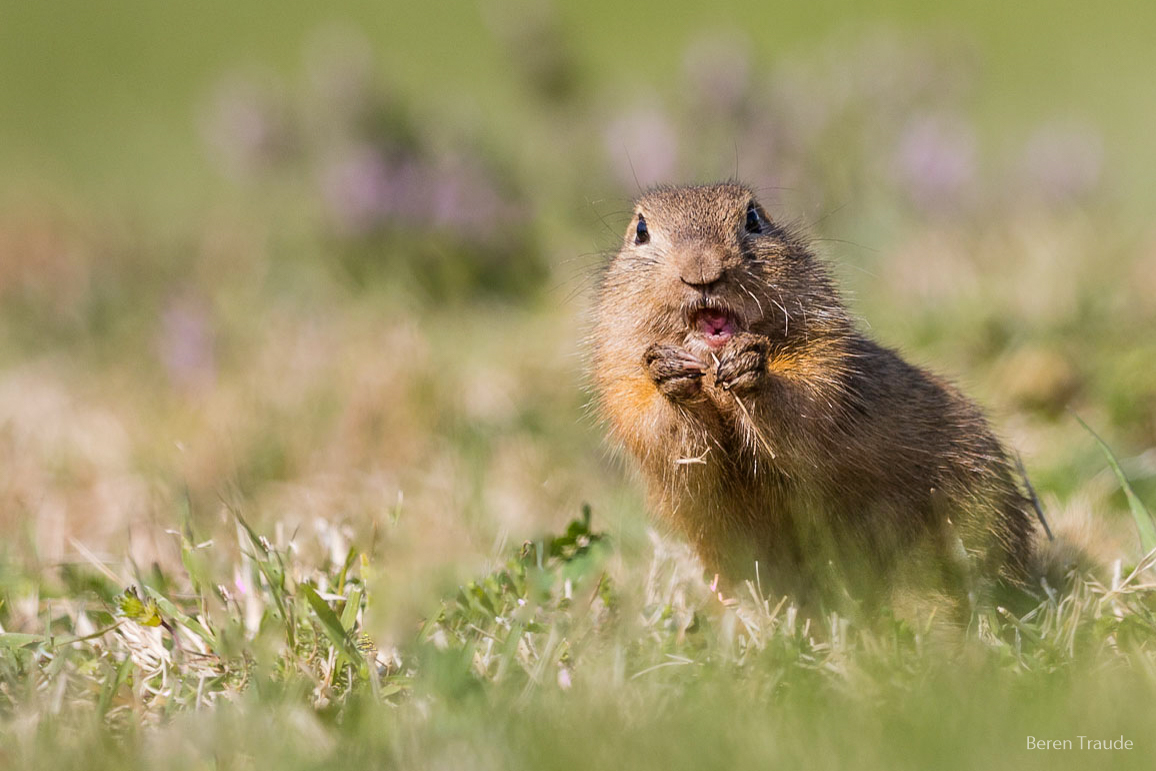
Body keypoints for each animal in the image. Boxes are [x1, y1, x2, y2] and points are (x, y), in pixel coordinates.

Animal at [596, 182, 1040, 619]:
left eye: (753, 218)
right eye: (640, 230)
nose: (702, 271)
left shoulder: (825, 361)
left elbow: (803, 415)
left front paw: (749, 366)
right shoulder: (624, 389)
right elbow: (670, 442)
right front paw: (669, 371)